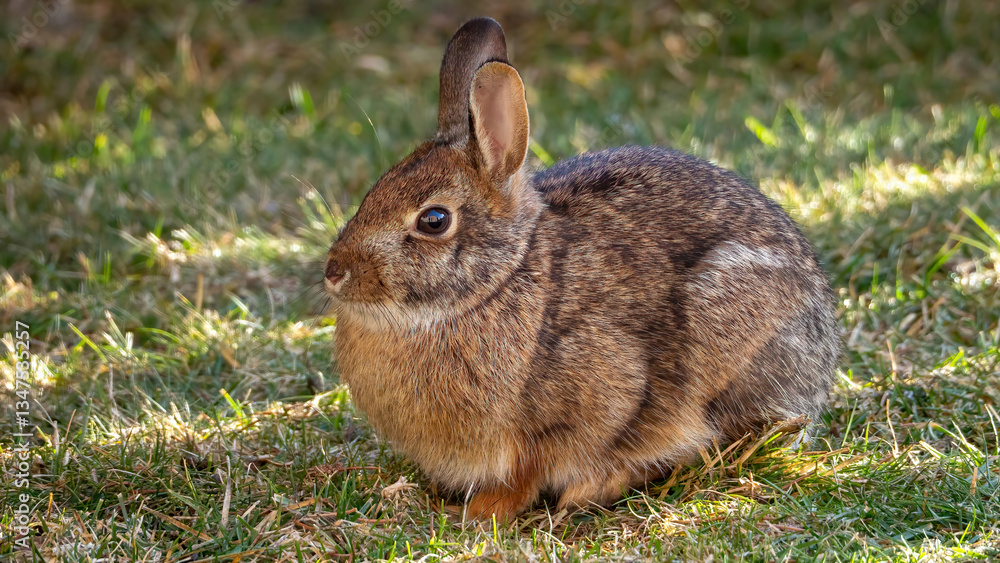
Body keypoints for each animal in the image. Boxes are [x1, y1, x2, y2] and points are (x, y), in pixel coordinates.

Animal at [324, 17, 840, 522]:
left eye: (434, 220)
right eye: (373, 191)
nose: (333, 272)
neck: (498, 282)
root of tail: (821, 364)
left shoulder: (598, 389)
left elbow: (534, 466)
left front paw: (486, 511)